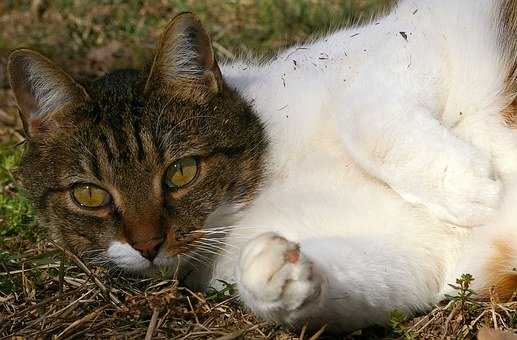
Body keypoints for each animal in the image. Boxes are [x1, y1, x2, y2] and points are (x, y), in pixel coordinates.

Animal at [7, 0, 516, 334]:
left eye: (181, 171)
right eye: (89, 194)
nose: (148, 245)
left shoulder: (409, 43)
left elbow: (363, 113)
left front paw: (470, 187)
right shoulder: (418, 258)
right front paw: (277, 274)